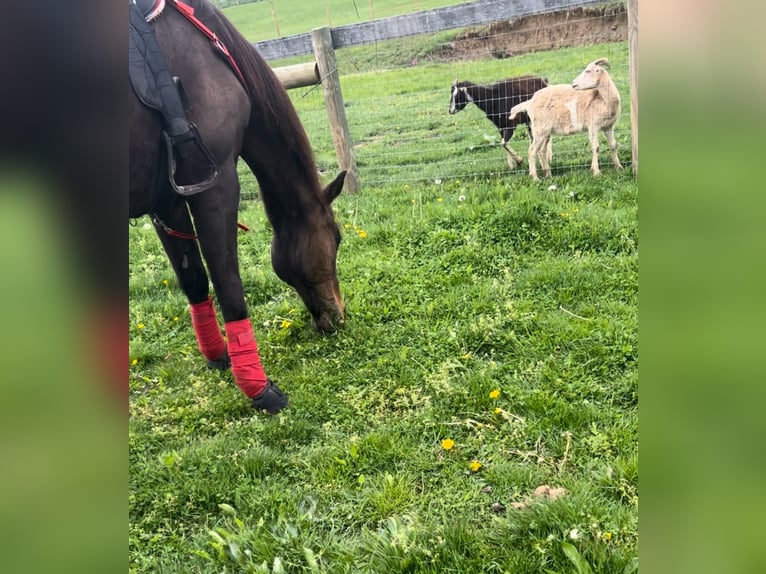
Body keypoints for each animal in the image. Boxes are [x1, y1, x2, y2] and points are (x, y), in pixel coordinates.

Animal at [130, 0, 346, 414]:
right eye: (338, 239)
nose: (339, 316)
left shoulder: (167, 202)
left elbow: (194, 279)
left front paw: (218, 355)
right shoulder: (216, 188)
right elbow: (229, 286)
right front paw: (257, 386)